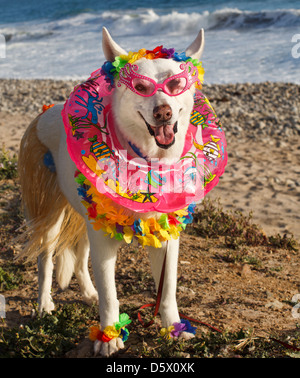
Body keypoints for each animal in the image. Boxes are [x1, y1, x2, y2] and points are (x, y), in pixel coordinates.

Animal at [18, 28, 205, 356]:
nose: (164, 112)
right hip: (47, 214)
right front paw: (109, 336)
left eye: (175, 84)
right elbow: (110, 293)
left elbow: (167, 289)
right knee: (45, 259)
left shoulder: (166, 237)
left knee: (80, 259)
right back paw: (44, 305)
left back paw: (87, 292)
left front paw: (174, 329)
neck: (146, 161)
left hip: (86, 218)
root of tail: (44, 113)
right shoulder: (103, 240)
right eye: (141, 86)